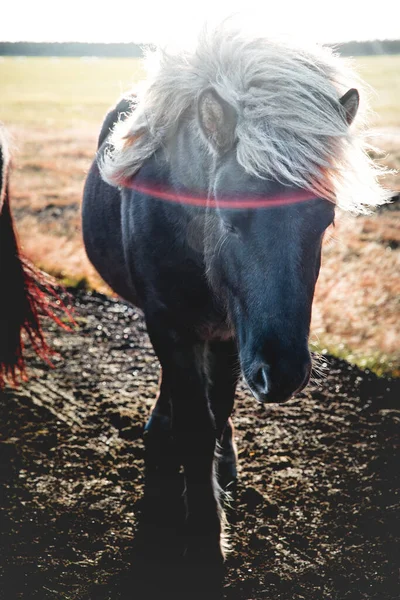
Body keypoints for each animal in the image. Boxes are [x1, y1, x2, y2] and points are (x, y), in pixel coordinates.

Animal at [82, 24, 388, 596]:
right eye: (230, 215)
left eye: (325, 219)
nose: (284, 372)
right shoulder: (170, 324)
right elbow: (195, 422)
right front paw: (205, 539)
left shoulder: (229, 332)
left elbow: (217, 408)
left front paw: (218, 480)